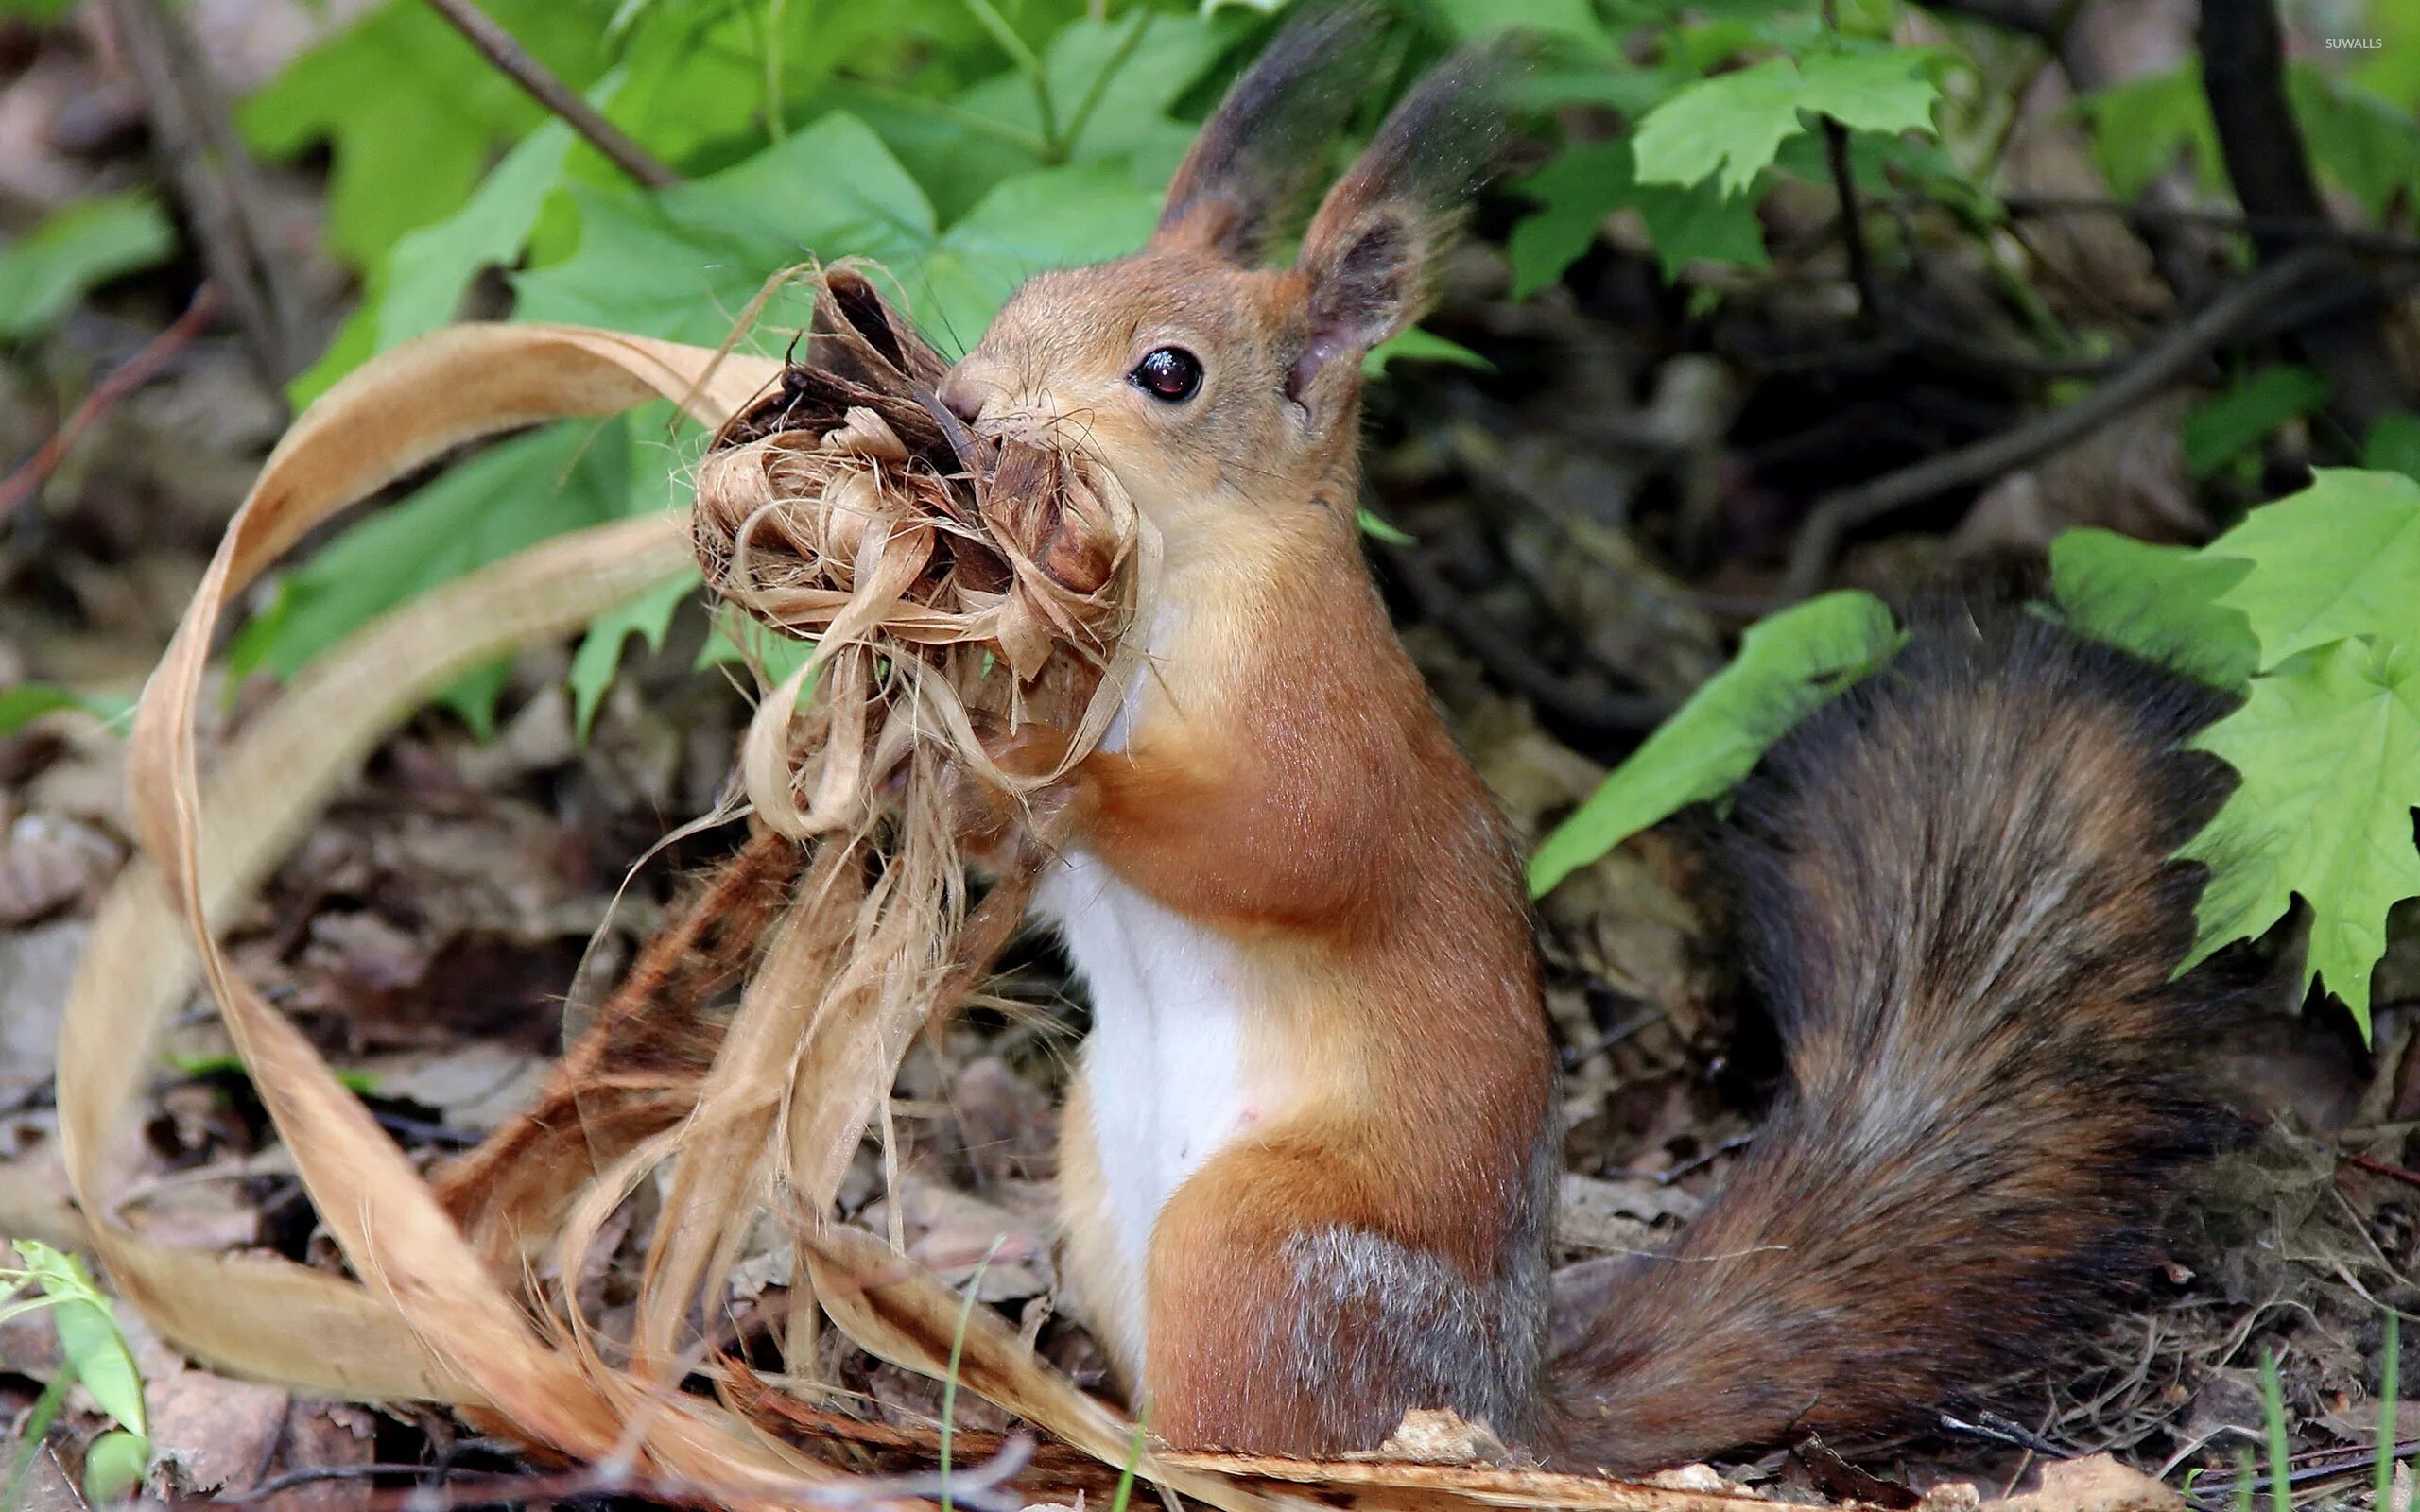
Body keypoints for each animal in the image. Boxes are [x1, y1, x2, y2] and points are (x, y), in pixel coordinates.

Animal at [924, 6, 2226, 1470]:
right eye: (1032, 283)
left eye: (1168, 374)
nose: (961, 404)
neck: (1175, 581)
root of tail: (1496, 1398)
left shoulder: (1323, 711)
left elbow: (1289, 840)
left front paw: (1063, 771)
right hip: (1092, 1165)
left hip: (1266, 1255)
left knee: (1252, 1424)